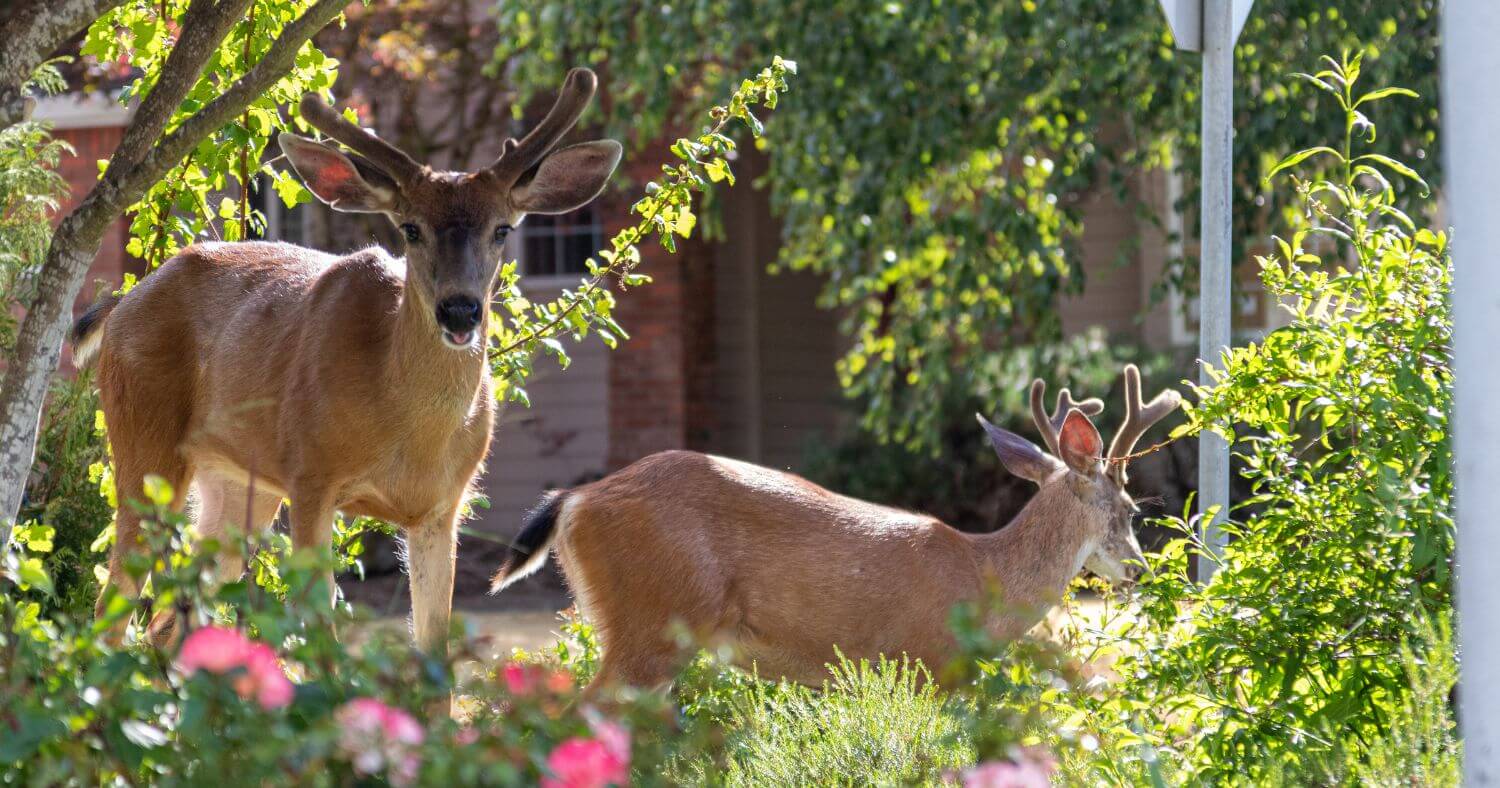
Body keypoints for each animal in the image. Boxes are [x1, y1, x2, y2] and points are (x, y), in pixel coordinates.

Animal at [69, 68, 622, 659]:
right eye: (410, 228)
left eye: (503, 229)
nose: (460, 309)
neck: (409, 434)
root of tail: (122, 301)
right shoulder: (311, 477)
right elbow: (321, 641)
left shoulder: (443, 508)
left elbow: (435, 651)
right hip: (144, 442)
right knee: (109, 610)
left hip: (237, 485)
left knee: (167, 621)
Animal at [490, 365, 1180, 690]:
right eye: (1132, 510)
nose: (1140, 569)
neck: (984, 580)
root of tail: (576, 499)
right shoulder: (924, 663)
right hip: (654, 619)